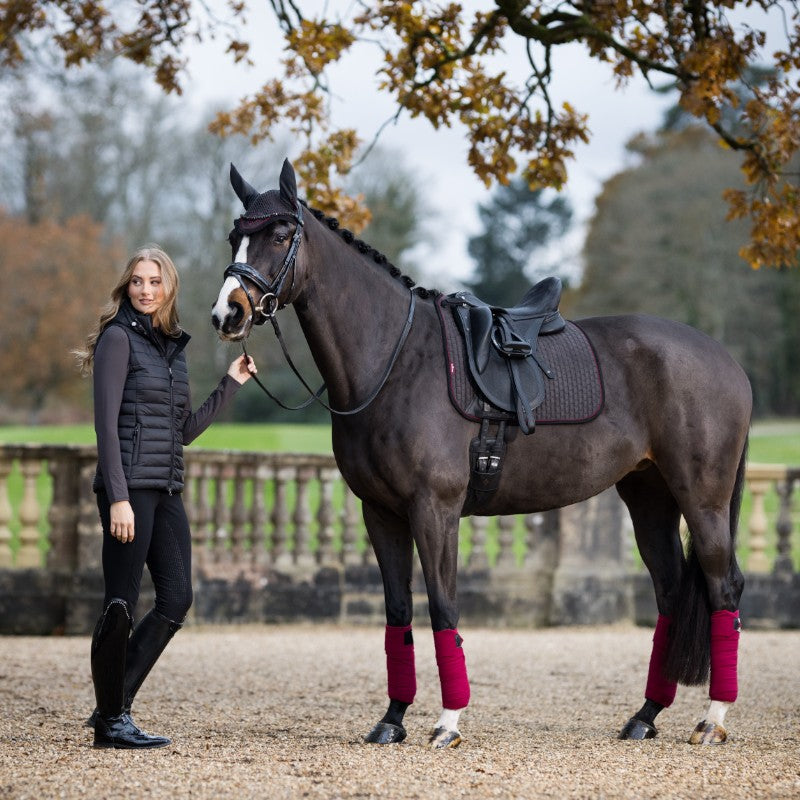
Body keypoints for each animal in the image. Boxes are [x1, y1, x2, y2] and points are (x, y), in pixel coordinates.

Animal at [211, 161, 752, 752]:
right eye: (236, 235)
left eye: (280, 235)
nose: (228, 312)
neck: (396, 361)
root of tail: (727, 361)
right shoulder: (380, 514)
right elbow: (398, 613)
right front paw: (392, 719)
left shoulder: (435, 510)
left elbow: (443, 606)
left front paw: (448, 722)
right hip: (650, 498)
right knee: (672, 595)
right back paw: (646, 715)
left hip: (702, 500)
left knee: (723, 589)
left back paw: (713, 719)